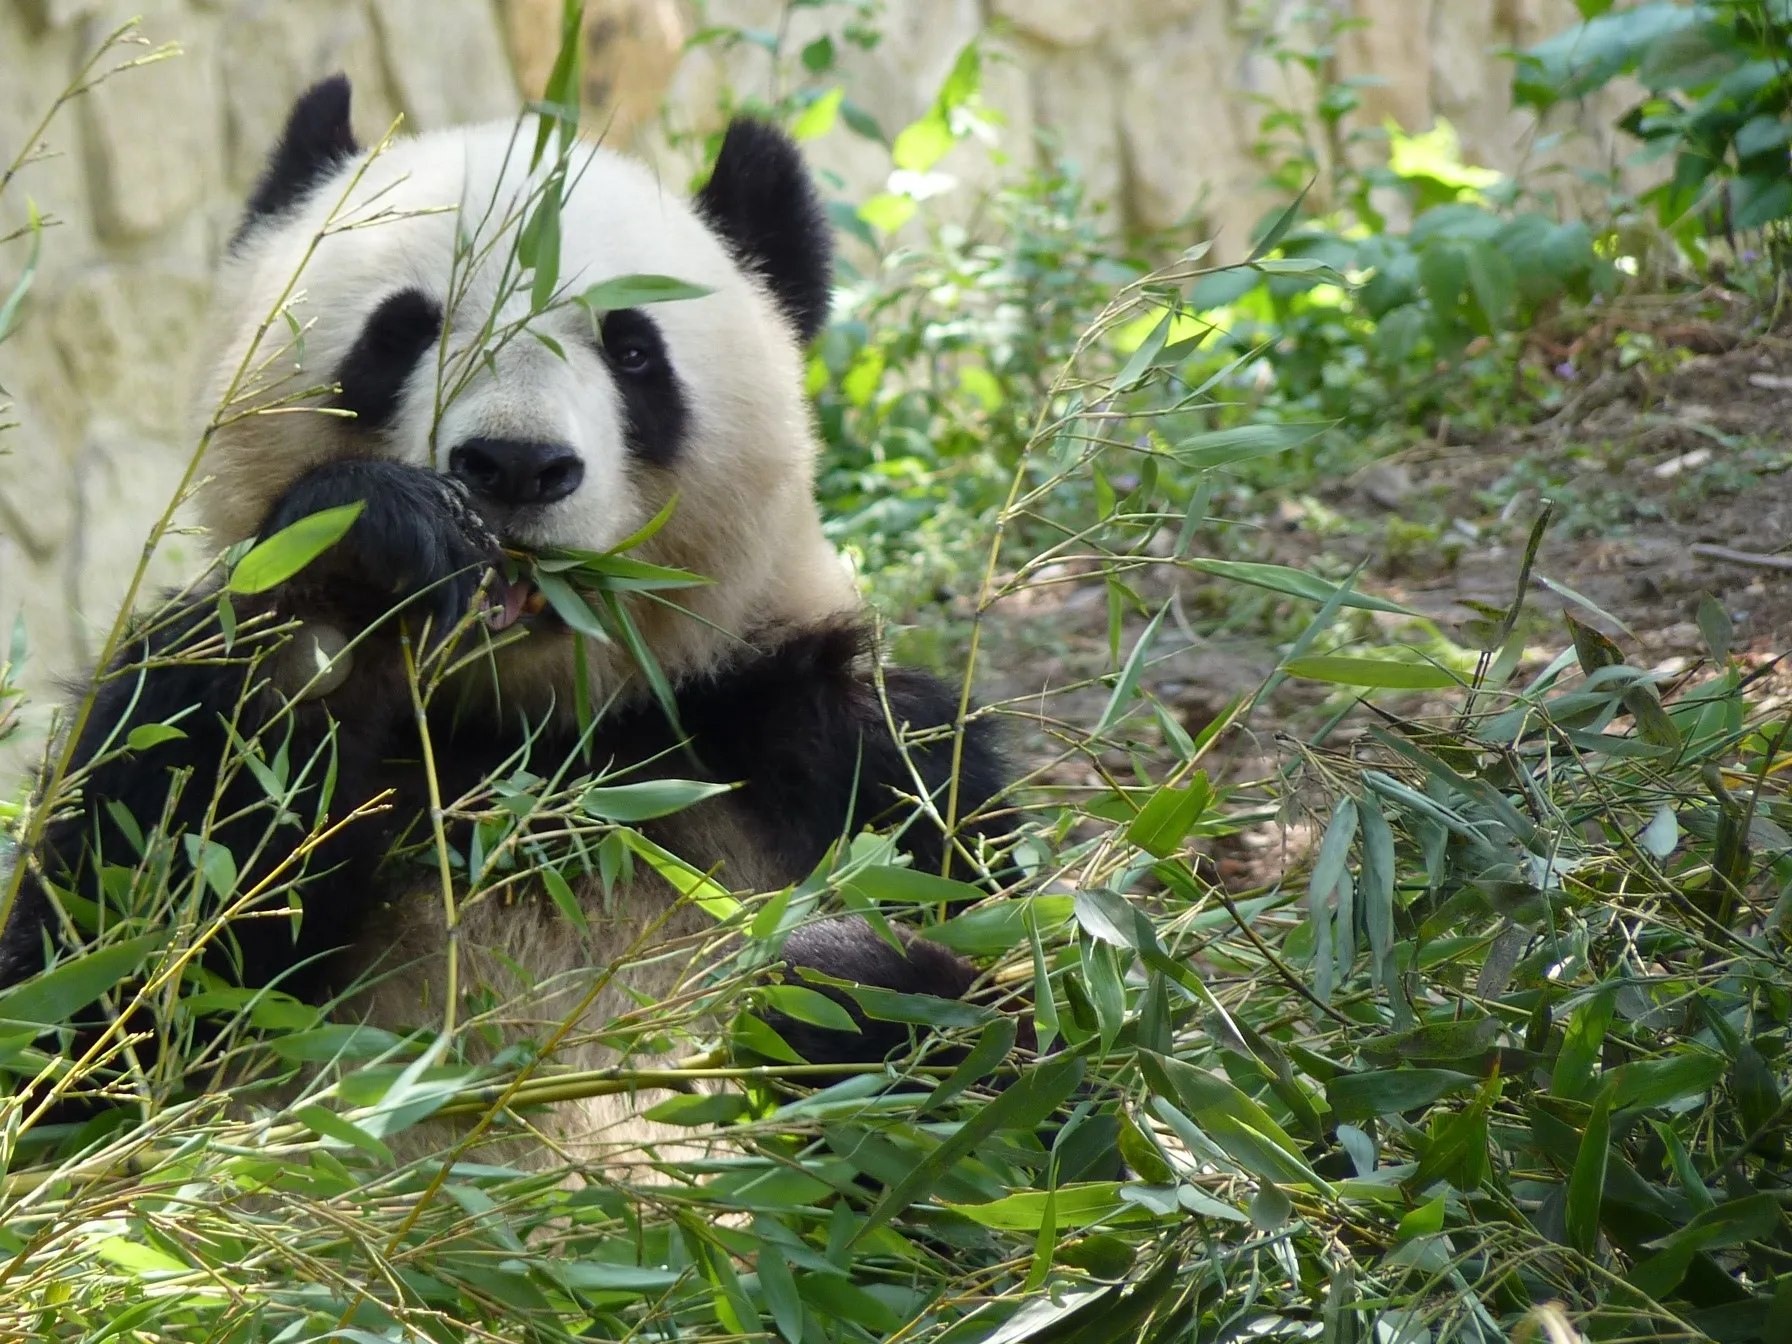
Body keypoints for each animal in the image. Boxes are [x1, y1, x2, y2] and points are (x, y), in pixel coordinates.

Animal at [0, 76, 1010, 1168]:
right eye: (402, 331)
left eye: (633, 349)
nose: (515, 467)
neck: (530, 742)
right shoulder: (176, 711)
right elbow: (102, 997)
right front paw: (371, 560)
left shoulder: (835, 746)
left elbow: (1012, 1028)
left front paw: (836, 974)